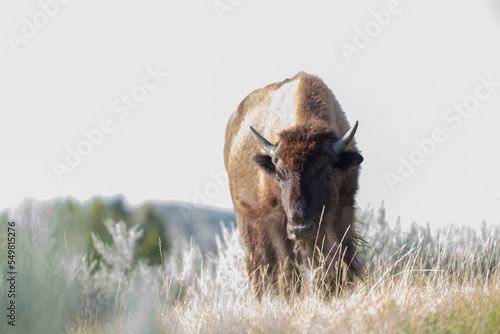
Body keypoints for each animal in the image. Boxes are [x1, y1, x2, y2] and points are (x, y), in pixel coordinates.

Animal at [224, 71, 364, 294]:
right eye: (278, 176)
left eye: (328, 174)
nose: (300, 228)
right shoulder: (276, 220)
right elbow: (286, 264)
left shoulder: (343, 210)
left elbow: (341, 254)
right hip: (246, 219)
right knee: (259, 263)